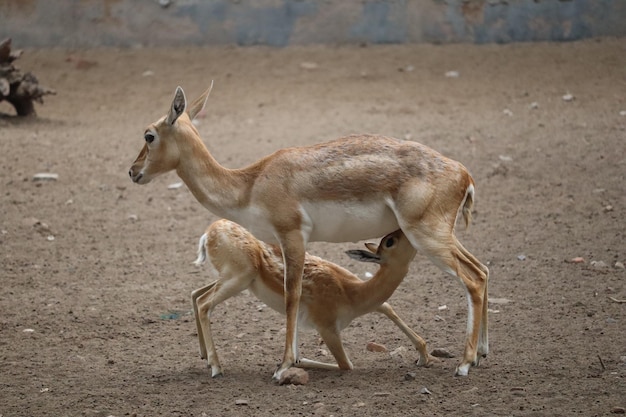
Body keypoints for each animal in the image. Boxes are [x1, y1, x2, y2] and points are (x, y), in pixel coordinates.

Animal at [193, 219, 432, 376]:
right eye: (390, 241)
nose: (410, 228)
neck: (351, 294)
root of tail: (210, 231)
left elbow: (388, 306)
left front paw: (424, 357)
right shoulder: (327, 327)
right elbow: (346, 364)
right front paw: (289, 364)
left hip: (233, 278)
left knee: (196, 294)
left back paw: (205, 358)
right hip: (240, 277)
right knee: (204, 304)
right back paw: (216, 367)